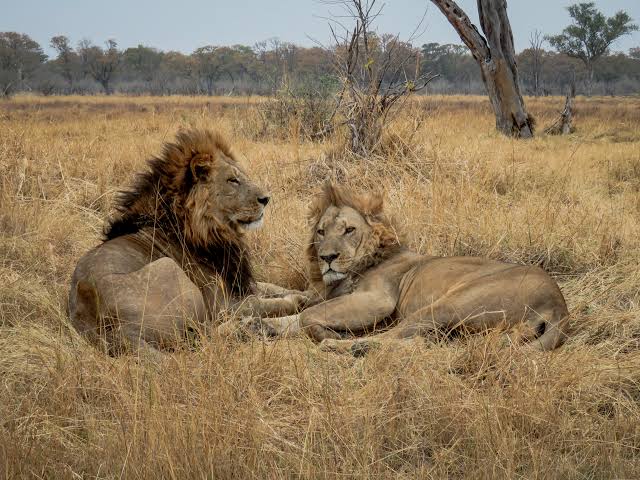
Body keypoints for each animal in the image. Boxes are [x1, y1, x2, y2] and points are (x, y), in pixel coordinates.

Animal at [69, 129, 307, 355]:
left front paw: (304, 291)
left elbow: (273, 287)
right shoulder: (223, 304)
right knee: (205, 336)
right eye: (233, 180)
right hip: (169, 269)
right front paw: (300, 300)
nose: (266, 199)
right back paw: (247, 328)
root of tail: (121, 334)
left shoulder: (239, 281)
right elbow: (262, 303)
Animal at [236, 183, 569, 353]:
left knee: (404, 340)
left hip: (448, 304)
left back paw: (341, 345)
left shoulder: (377, 300)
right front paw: (255, 325)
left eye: (349, 230)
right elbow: (295, 314)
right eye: (320, 232)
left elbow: (306, 317)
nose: (327, 257)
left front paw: (326, 333)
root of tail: (559, 306)